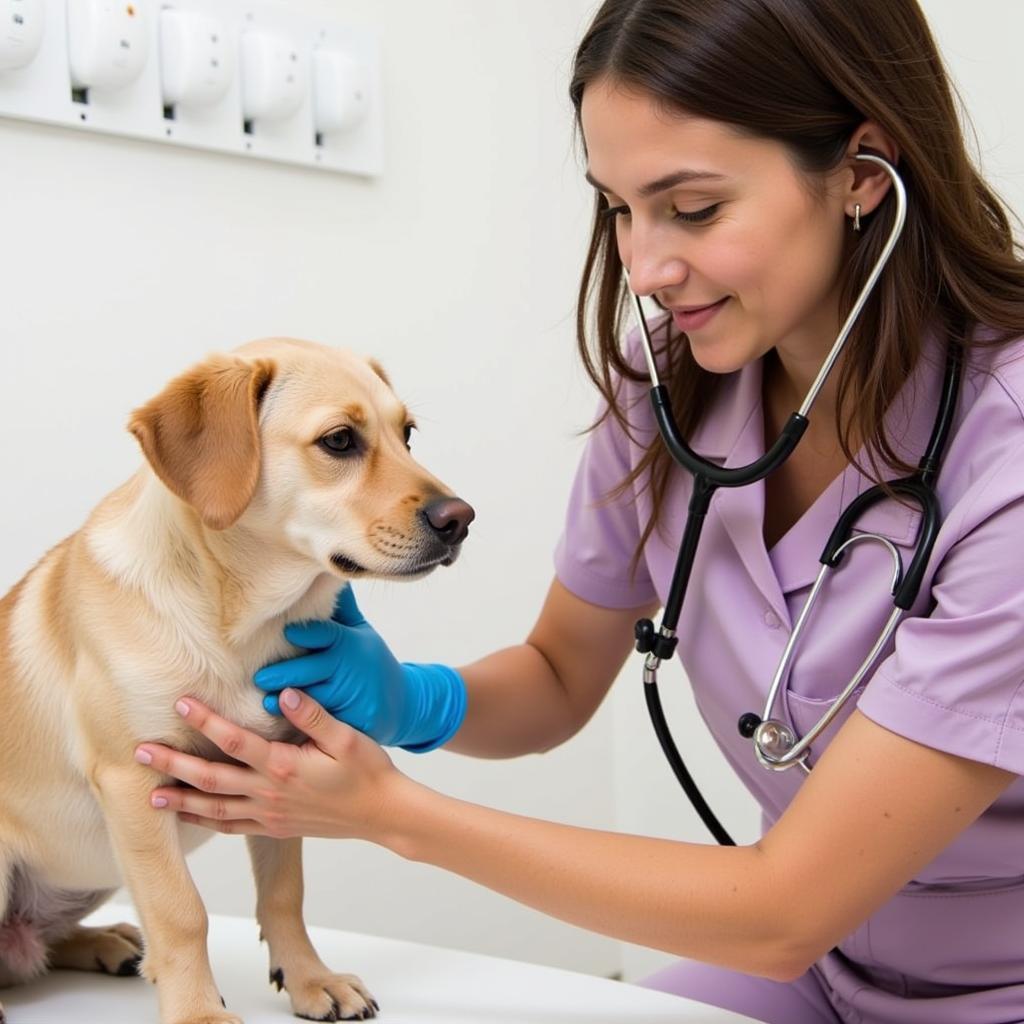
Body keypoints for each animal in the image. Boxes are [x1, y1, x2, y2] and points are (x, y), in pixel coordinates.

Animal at [0, 339, 473, 1019]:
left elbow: (284, 893)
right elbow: (182, 911)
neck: (240, 629)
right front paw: (197, 1011)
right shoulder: (132, 781)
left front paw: (309, 979)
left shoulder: (281, 774)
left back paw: (106, 943)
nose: (462, 518)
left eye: (407, 434)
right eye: (339, 440)